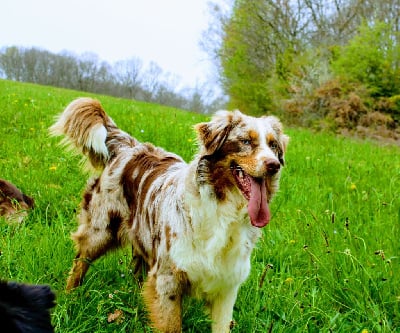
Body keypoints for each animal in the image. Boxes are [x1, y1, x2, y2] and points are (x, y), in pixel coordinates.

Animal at [50, 97, 288, 330]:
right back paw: (68, 299)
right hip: (100, 230)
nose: (274, 165)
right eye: (246, 141)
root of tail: (131, 146)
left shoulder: (226, 286)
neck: (223, 211)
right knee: (80, 262)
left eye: (273, 145)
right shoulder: (167, 280)